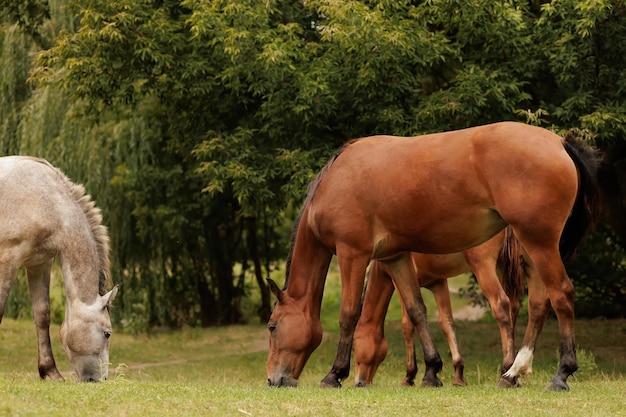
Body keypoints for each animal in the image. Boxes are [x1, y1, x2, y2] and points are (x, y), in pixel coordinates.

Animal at [0, 155, 117, 380]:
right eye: (107, 333)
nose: (102, 379)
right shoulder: (7, 260)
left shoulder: (39, 263)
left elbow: (42, 314)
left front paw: (50, 371)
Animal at [352, 226, 520, 386]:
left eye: (354, 346)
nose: (359, 382)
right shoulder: (439, 284)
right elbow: (446, 323)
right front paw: (458, 374)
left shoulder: (400, 284)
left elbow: (407, 325)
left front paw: (410, 376)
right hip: (501, 269)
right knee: (513, 307)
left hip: (484, 269)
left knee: (501, 306)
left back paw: (507, 368)